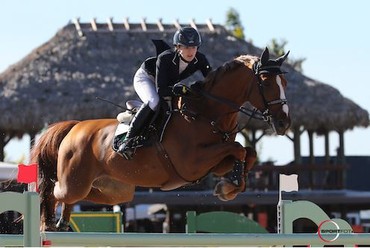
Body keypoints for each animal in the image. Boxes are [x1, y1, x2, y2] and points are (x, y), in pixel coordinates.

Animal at [31, 47, 290, 231]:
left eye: (284, 83)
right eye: (266, 81)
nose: (283, 123)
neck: (205, 114)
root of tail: (74, 127)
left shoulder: (213, 163)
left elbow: (247, 152)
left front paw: (230, 186)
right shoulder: (192, 163)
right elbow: (238, 148)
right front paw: (230, 185)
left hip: (115, 189)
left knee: (84, 196)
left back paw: (62, 222)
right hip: (74, 181)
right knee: (54, 191)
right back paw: (48, 222)